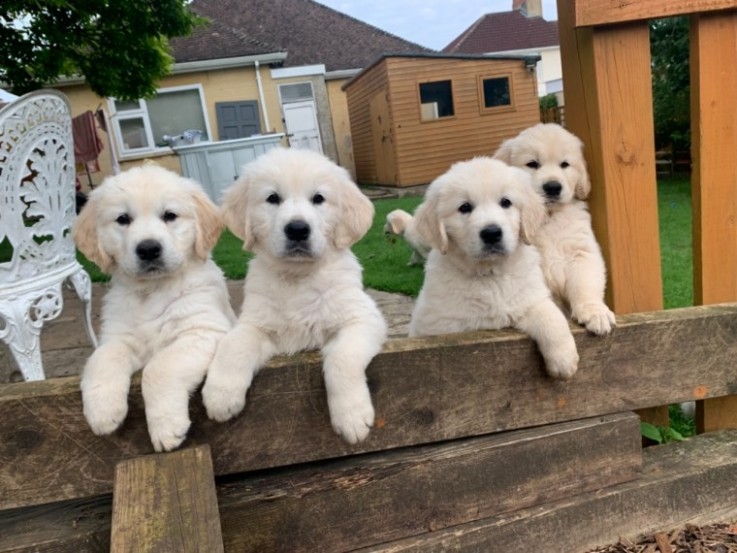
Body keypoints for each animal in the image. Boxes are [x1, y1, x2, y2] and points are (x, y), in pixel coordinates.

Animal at [71, 166, 233, 450]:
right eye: (123, 219)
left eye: (170, 215)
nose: (148, 249)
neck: (153, 290)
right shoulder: (118, 337)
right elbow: (102, 357)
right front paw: (102, 412)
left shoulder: (204, 330)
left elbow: (159, 367)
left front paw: (166, 427)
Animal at [200, 147, 386, 444]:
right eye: (273, 198)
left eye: (318, 199)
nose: (297, 229)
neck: (298, 278)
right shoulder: (257, 324)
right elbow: (234, 344)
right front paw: (221, 395)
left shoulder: (363, 319)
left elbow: (341, 359)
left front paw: (351, 417)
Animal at [412, 156, 576, 380]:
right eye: (464, 207)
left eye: (505, 202)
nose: (491, 233)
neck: (490, 275)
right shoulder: (449, 326)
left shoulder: (528, 300)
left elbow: (551, 315)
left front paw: (564, 360)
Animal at [494, 123, 616, 334]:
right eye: (532, 164)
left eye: (564, 164)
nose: (552, 187)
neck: (548, 218)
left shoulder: (581, 251)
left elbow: (585, 283)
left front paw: (595, 312)